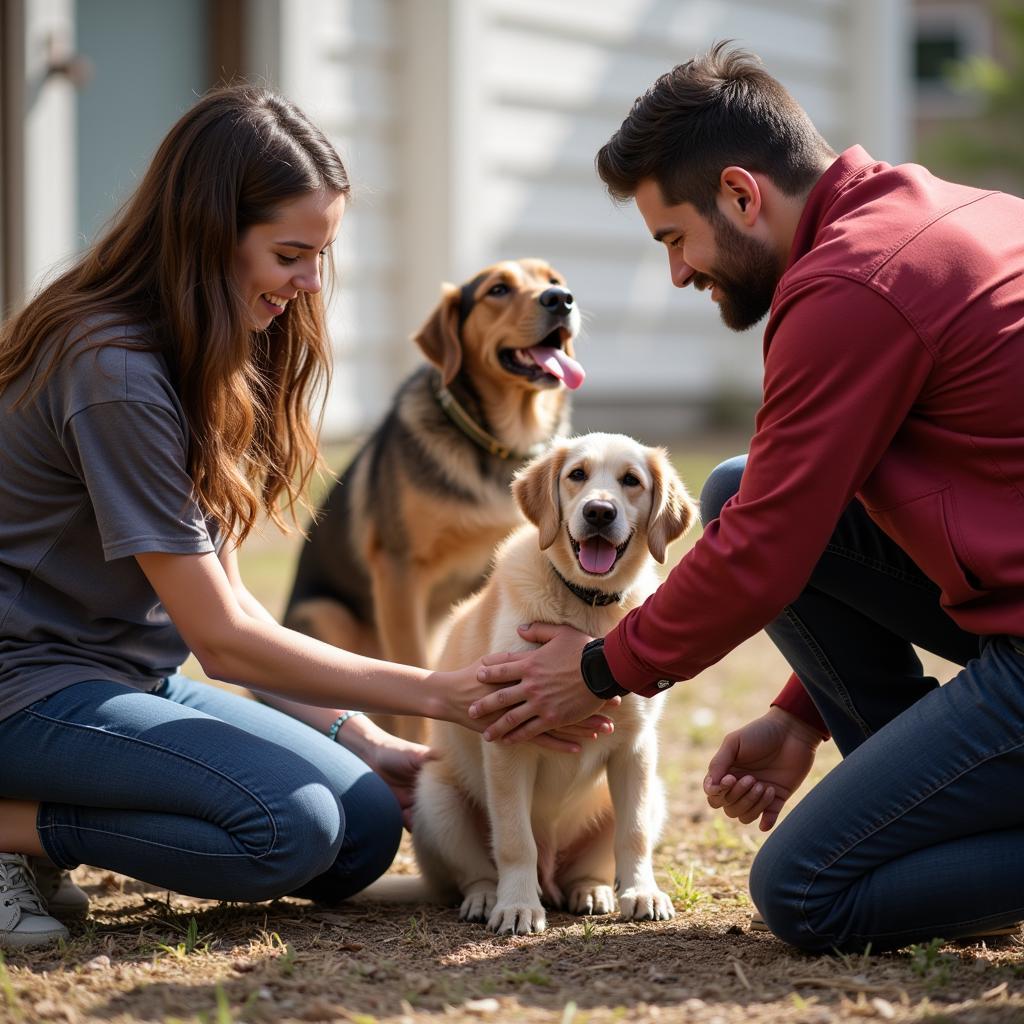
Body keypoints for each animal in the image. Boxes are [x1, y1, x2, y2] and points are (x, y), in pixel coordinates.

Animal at [284, 260, 585, 745]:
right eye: (498, 290)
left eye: (553, 280)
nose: (561, 300)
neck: (498, 445)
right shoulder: (398, 569)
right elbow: (411, 670)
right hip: (324, 614)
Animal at [409, 432, 696, 937]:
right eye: (577, 475)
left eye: (631, 481)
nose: (599, 512)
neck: (586, 607)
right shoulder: (506, 740)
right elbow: (513, 839)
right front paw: (518, 906)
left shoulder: (636, 748)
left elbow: (634, 832)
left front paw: (641, 892)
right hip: (434, 797)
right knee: (476, 871)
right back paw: (488, 897)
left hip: (652, 792)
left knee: (593, 862)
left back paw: (593, 890)